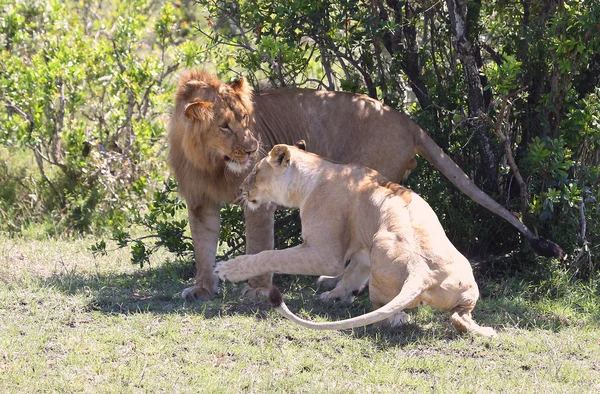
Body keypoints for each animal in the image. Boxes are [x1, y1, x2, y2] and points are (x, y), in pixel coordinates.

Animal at [168, 70, 564, 298]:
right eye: (225, 126)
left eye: (247, 120)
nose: (253, 148)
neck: (211, 163)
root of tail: (408, 121)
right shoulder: (199, 202)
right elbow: (203, 247)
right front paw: (202, 288)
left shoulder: (260, 205)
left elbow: (259, 244)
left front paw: (256, 291)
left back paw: (337, 285)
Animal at [216, 144, 496, 336]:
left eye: (255, 172)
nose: (241, 189)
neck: (314, 175)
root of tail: (420, 273)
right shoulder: (363, 250)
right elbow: (351, 275)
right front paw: (334, 295)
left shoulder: (326, 254)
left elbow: (270, 255)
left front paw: (228, 269)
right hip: (454, 276)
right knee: (459, 317)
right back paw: (486, 331)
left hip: (380, 248)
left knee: (386, 314)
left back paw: (399, 319)